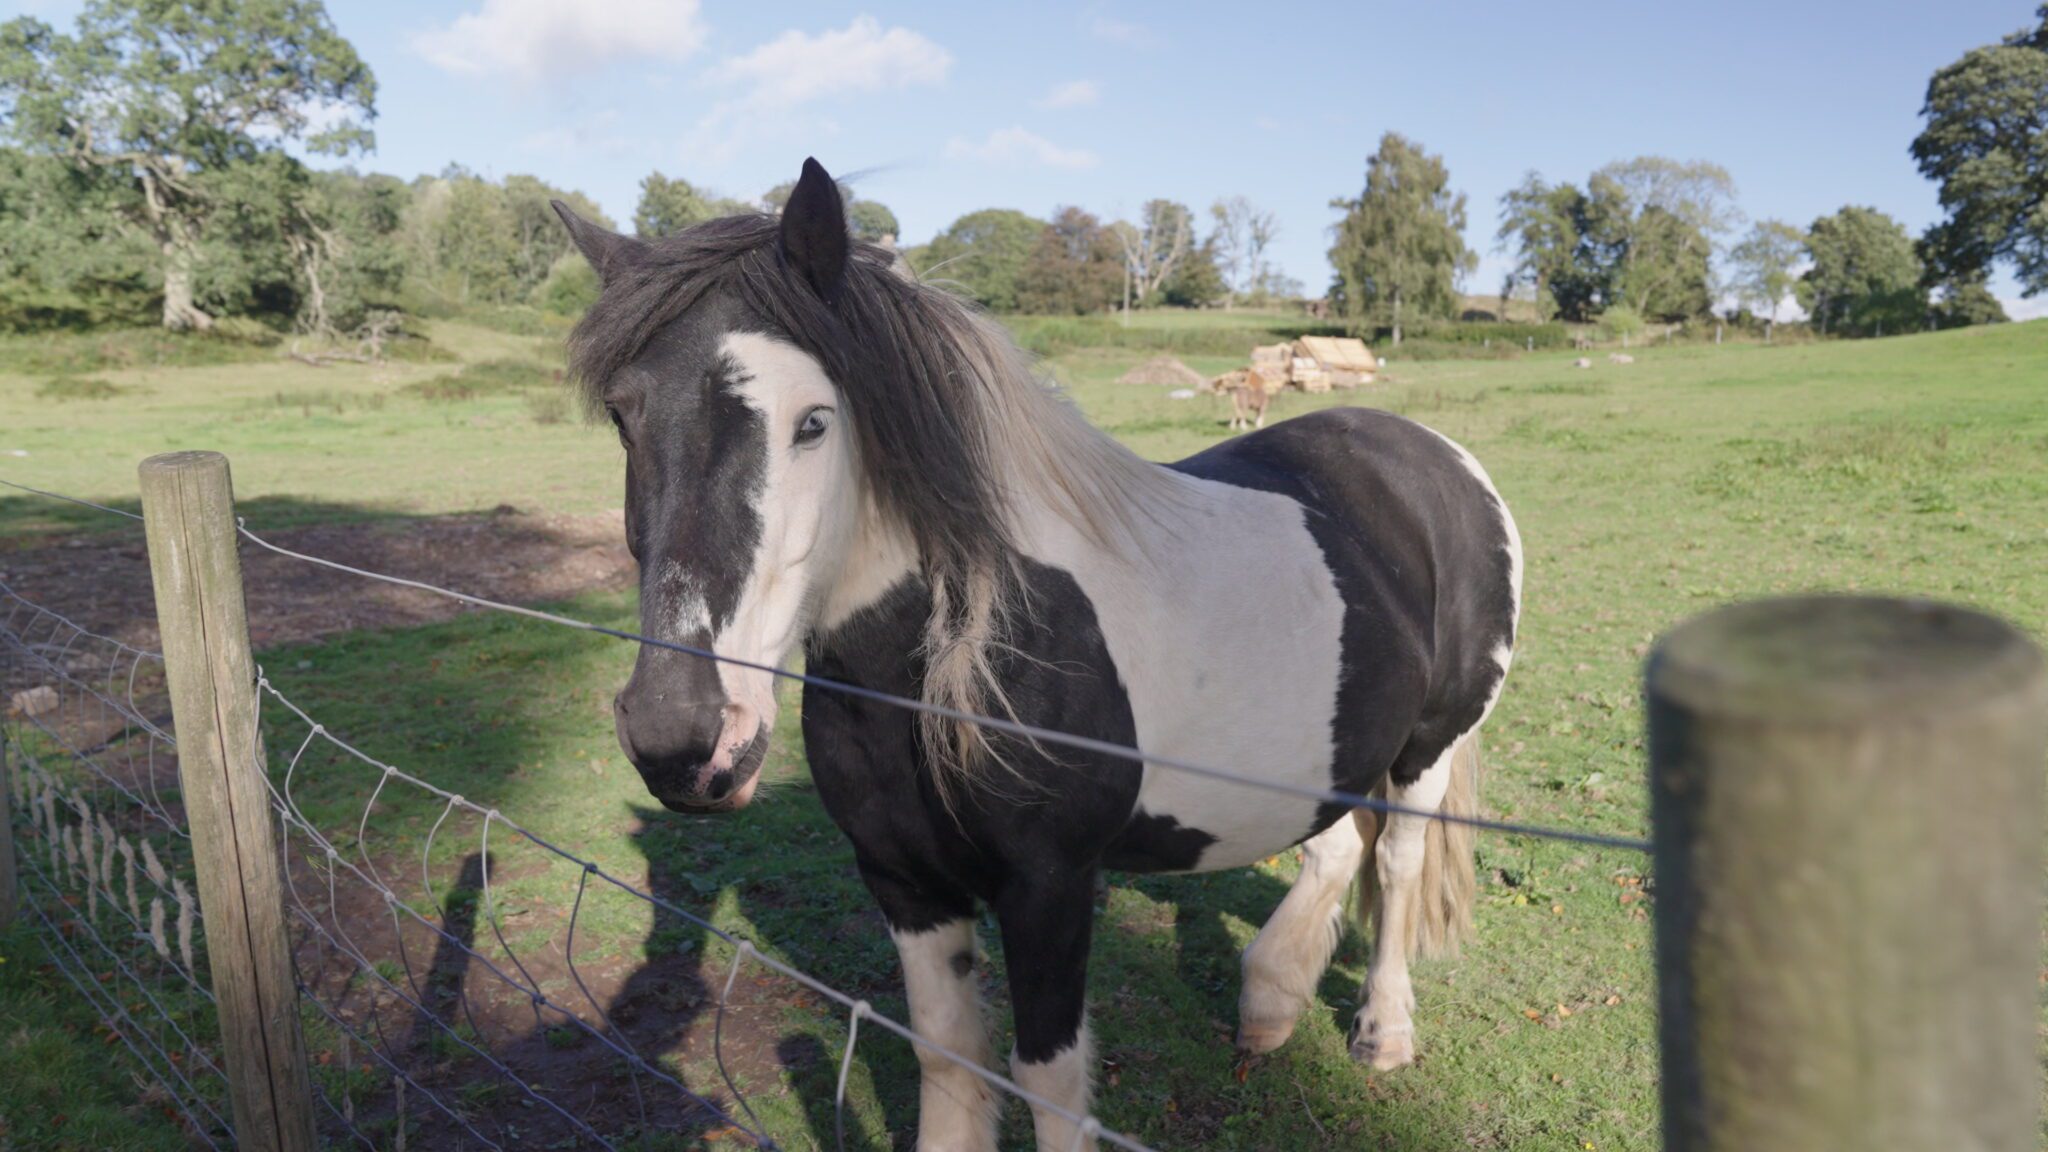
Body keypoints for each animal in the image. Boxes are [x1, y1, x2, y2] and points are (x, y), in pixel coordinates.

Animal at [553, 158, 1521, 1152]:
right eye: (624, 417)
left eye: (813, 422)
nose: (681, 734)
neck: (941, 673)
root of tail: (1433, 457)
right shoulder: (903, 880)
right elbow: (948, 1056)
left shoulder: (1049, 888)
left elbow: (1045, 1077)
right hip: (1322, 751)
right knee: (1329, 847)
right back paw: (1271, 1002)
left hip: (1427, 749)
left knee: (1398, 860)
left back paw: (1382, 1032)